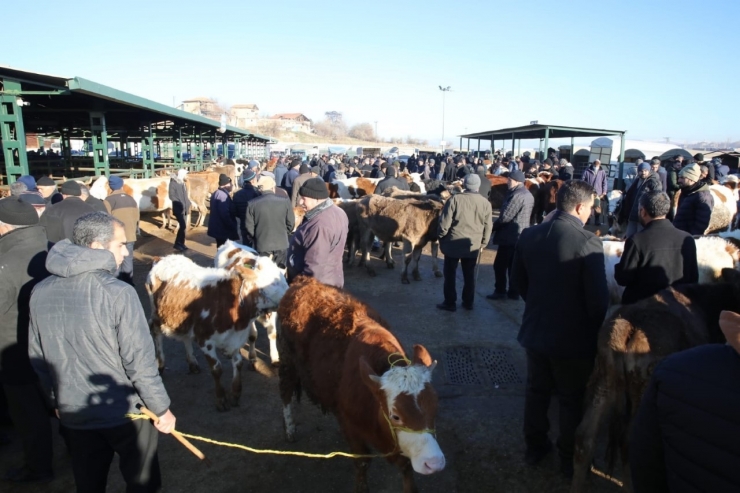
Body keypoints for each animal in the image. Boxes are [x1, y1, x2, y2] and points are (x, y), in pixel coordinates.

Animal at [147, 252, 290, 410]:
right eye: (274, 282)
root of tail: (162, 258)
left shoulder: (236, 338)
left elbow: (238, 363)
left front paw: (235, 393)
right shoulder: (205, 340)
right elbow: (216, 369)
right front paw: (221, 399)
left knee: (185, 337)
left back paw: (192, 363)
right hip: (156, 313)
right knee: (155, 331)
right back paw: (160, 364)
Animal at [274, 276, 442, 492]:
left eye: (434, 408)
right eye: (395, 416)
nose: (434, 463)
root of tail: (303, 281)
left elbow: (406, 468)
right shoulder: (351, 428)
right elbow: (362, 462)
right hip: (287, 361)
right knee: (285, 390)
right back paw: (290, 429)